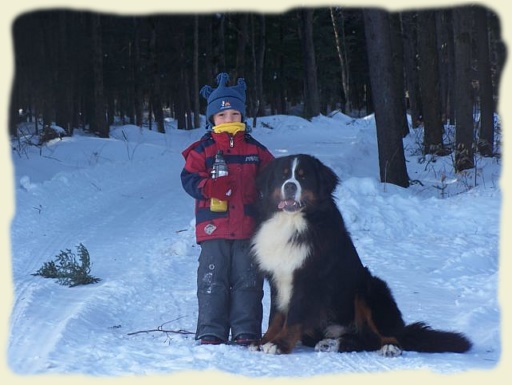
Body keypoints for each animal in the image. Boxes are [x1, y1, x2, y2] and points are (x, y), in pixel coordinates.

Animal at [249, 152, 472, 354]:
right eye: (283, 175)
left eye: (303, 176)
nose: (290, 186)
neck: (292, 222)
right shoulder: (278, 278)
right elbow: (276, 317)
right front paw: (263, 341)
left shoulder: (309, 279)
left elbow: (294, 318)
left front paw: (278, 344)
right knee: (362, 339)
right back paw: (331, 343)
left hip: (370, 288)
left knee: (381, 336)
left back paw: (388, 347)